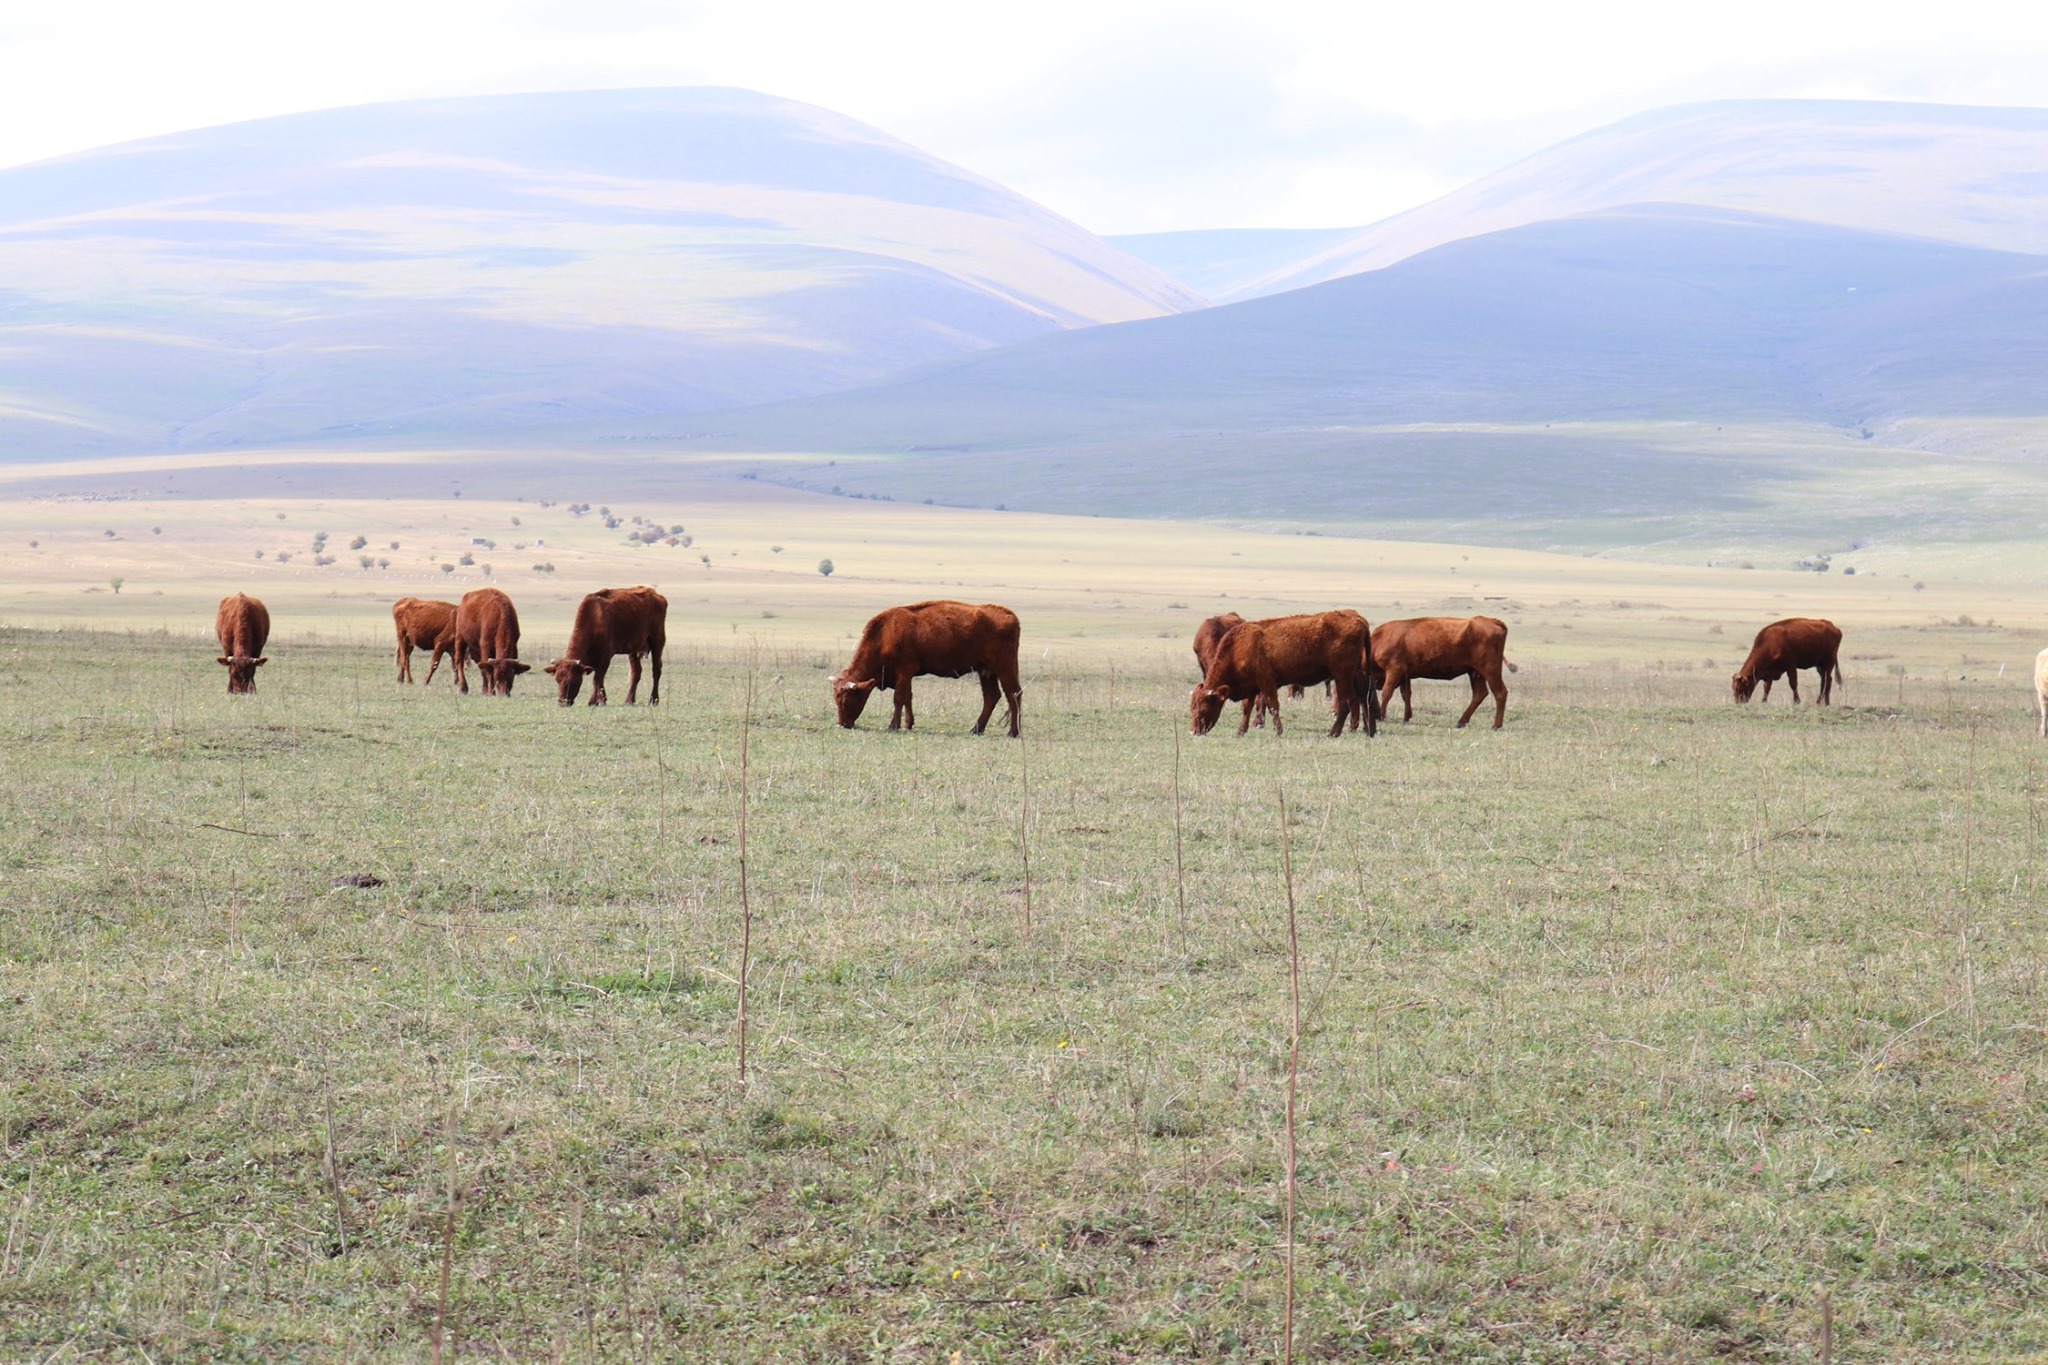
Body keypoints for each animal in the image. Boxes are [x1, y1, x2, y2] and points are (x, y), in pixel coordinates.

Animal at [830, 601, 1022, 736]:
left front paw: (893, 725)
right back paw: (976, 729)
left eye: (847, 700)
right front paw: (908, 724)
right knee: (991, 697)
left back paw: (1013, 732)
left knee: (1014, 695)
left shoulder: (904, 671)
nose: (843, 724)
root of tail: (1009, 615)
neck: (885, 635)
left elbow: (899, 698)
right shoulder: (906, 677)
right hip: (986, 672)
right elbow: (908, 698)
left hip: (1005, 669)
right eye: (836, 699)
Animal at [1190, 610, 1374, 739]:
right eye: (1192, 706)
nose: (1193, 731)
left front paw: (1277, 731)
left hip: (1342, 675)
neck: (1239, 647)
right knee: (1365, 697)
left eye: (1204, 706)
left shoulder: (1266, 682)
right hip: (1356, 674)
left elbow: (1273, 706)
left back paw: (1333, 733)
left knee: (1345, 703)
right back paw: (1370, 730)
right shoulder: (1252, 686)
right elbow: (1247, 708)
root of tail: (1358, 620)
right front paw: (1241, 731)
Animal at [1371, 616, 1513, 730]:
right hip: (1475, 673)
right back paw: (1461, 722)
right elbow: (1406, 694)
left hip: (1490, 671)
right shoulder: (1404, 675)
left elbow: (1387, 692)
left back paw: (1496, 725)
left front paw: (1381, 716)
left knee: (1500, 692)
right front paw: (1406, 717)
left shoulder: (1395, 670)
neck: (1380, 639)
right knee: (1480, 693)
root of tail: (1489, 620)